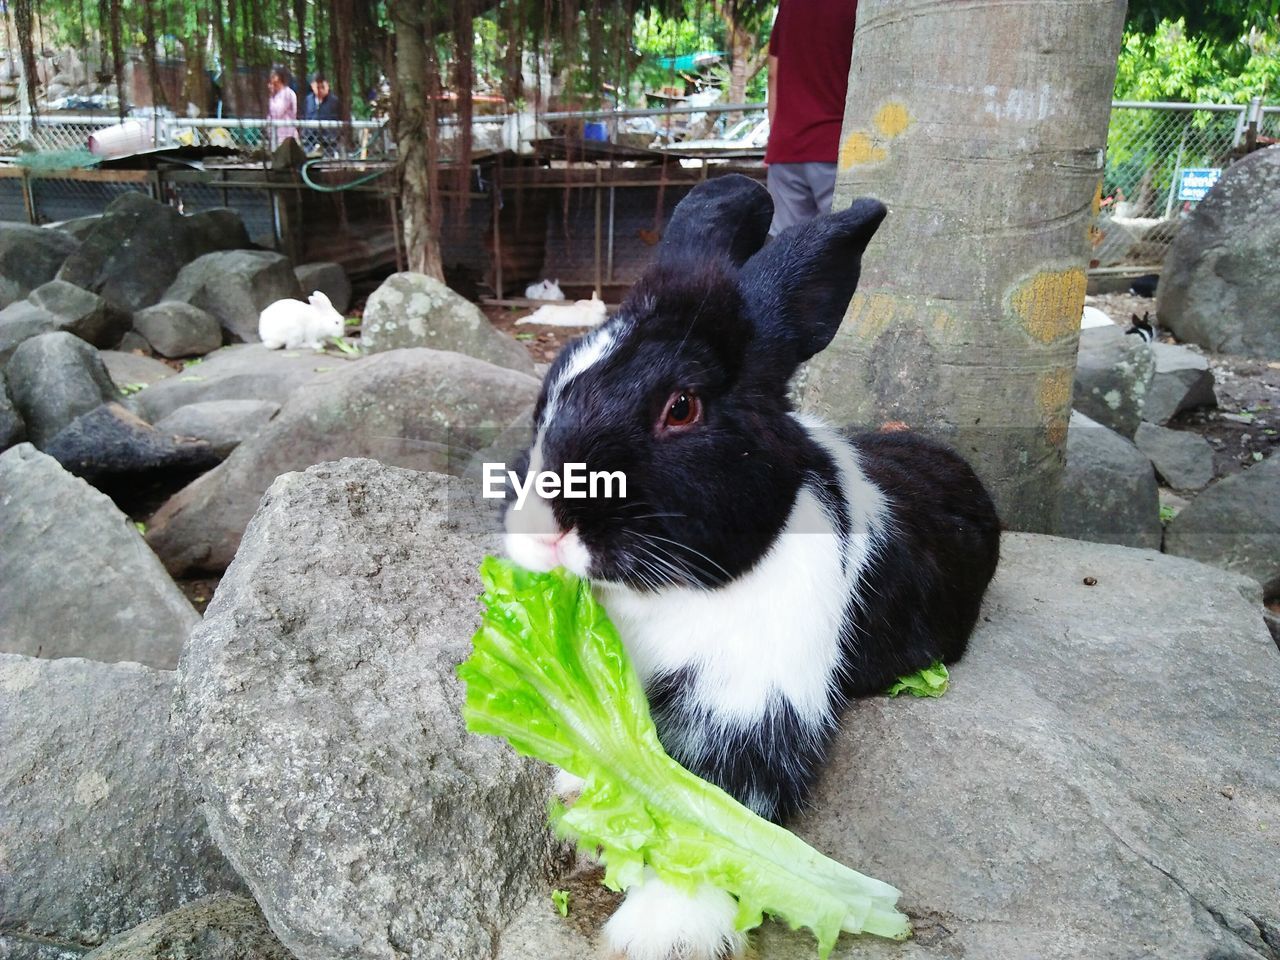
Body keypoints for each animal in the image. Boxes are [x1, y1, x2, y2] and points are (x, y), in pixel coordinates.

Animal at [504, 175, 1003, 960]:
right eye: (554, 382)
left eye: (681, 407)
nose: (546, 531)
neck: (674, 592)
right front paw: (580, 793)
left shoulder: (753, 712)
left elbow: (720, 821)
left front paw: (661, 931)